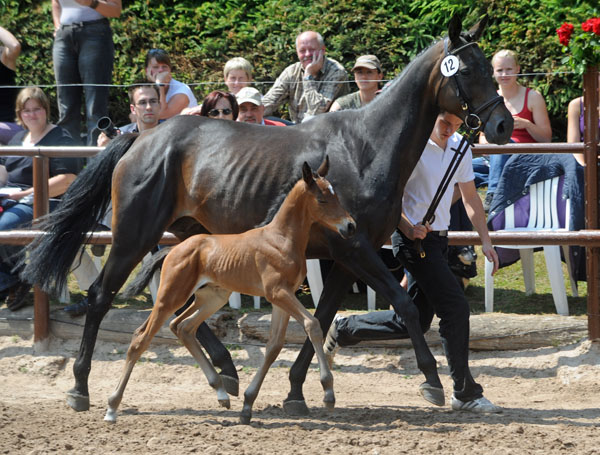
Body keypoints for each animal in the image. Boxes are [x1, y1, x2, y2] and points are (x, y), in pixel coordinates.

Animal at [105, 159, 354, 426]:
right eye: (322, 199)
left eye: (336, 195)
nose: (350, 225)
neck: (281, 239)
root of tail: (173, 249)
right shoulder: (277, 293)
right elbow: (312, 324)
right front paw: (328, 393)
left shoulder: (283, 298)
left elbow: (274, 345)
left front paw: (247, 405)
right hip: (170, 296)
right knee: (141, 337)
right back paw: (112, 407)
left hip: (212, 297)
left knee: (183, 327)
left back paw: (221, 393)